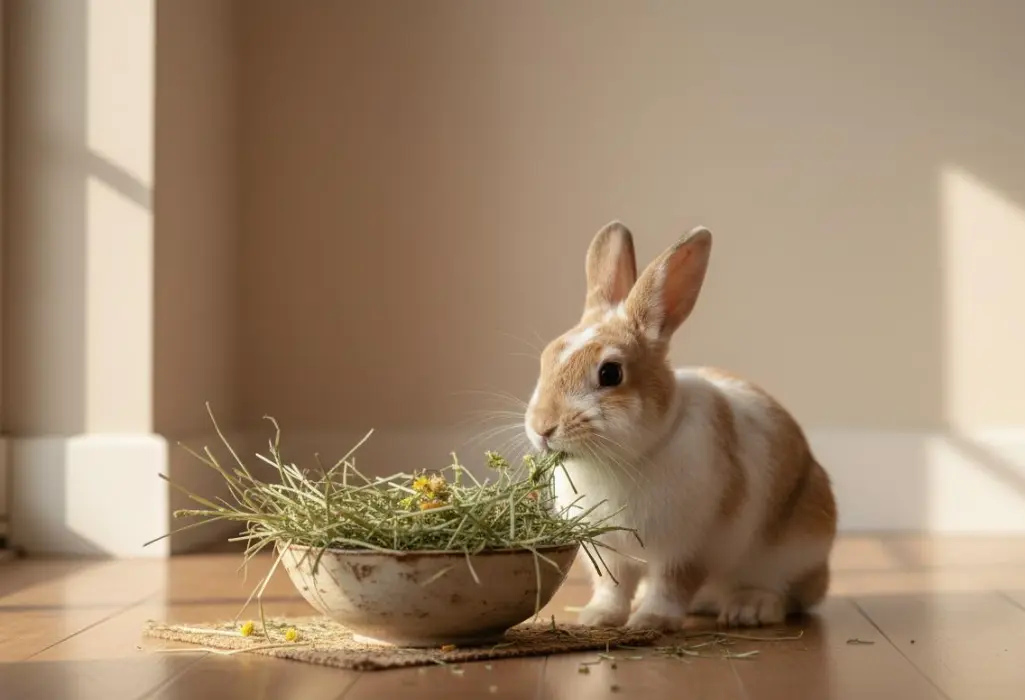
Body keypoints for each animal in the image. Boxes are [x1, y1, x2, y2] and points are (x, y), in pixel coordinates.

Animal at [522, 221, 837, 630]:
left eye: (610, 373)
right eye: (547, 358)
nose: (542, 427)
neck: (629, 457)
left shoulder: (688, 549)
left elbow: (669, 588)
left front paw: (650, 622)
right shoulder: (610, 555)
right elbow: (613, 588)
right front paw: (596, 618)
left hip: (794, 551)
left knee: (790, 594)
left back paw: (749, 608)